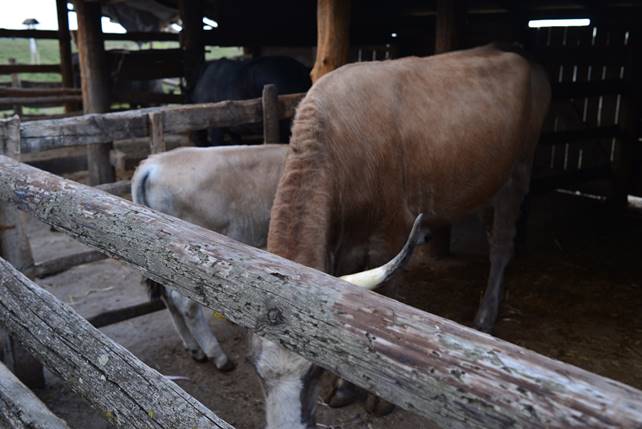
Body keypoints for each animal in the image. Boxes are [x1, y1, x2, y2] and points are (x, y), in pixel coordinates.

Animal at [250, 45, 552, 426]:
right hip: (487, 182)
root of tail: (519, 55)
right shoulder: (348, 244)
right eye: (256, 371)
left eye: (315, 369)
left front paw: (377, 398)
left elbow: (383, 306)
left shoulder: (392, 235)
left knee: (501, 247)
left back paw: (485, 317)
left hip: (518, 173)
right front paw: (346, 388)